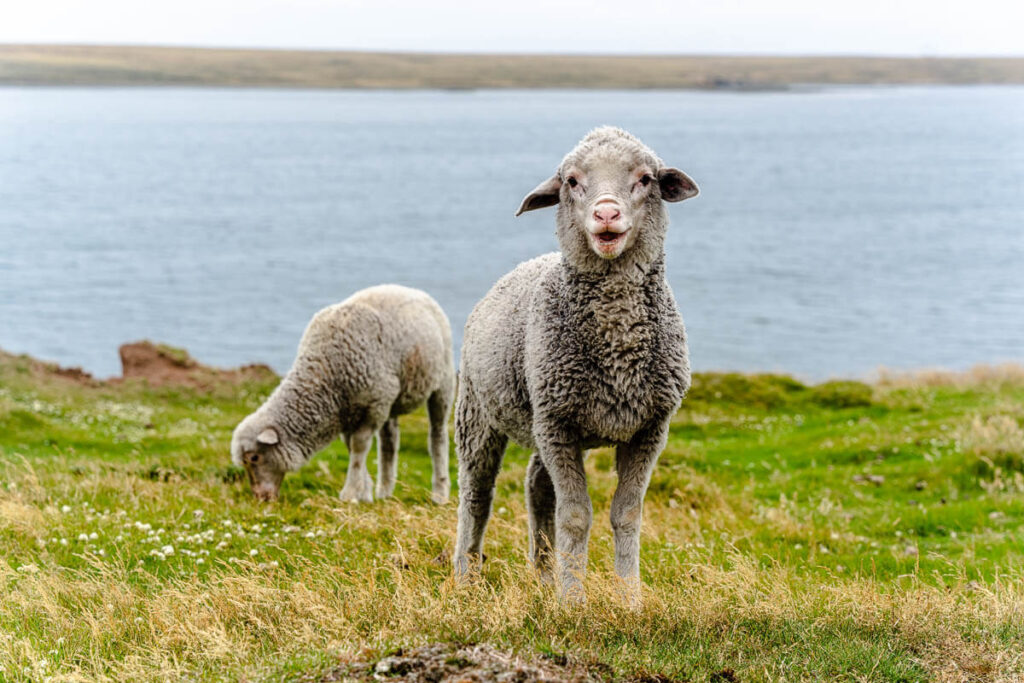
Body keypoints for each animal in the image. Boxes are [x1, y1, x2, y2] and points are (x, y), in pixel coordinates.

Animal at [231, 284, 455, 504]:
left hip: (442, 383)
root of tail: (411, 290)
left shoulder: (372, 407)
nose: (260, 498)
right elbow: (351, 448)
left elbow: (358, 447)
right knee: (389, 442)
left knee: (437, 435)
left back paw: (440, 493)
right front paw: (364, 492)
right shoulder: (348, 411)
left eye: (254, 458)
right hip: (391, 401)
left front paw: (350, 493)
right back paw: (385, 491)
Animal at [453, 127, 698, 599]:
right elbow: (576, 516)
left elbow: (626, 515)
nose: (606, 213)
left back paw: (543, 575)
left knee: (536, 486)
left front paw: (629, 599)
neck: (617, 342)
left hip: (544, 422)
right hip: (480, 415)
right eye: (571, 181)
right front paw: (572, 602)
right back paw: (465, 578)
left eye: (645, 179)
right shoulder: (558, 425)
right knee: (477, 496)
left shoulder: (648, 429)